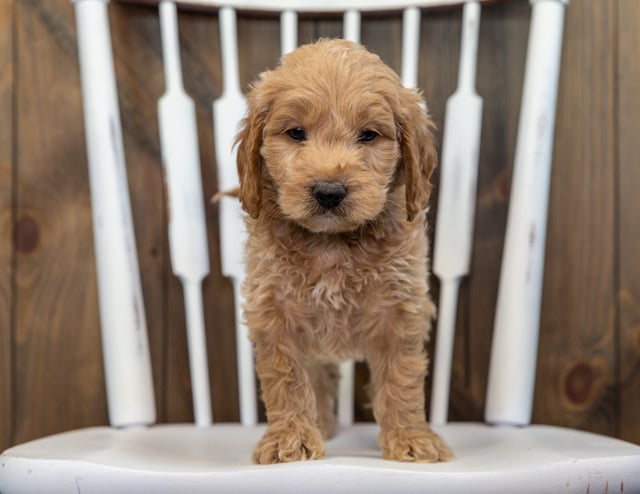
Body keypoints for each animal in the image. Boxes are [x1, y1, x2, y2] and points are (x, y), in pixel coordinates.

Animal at [234, 37, 450, 464]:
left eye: (368, 135)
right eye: (295, 132)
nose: (329, 191)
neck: (332, 245)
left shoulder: (399, 310)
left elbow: (402, 378)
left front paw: (411, 437)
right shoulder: (275, 311)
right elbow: (286, 378)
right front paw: (290, 439)